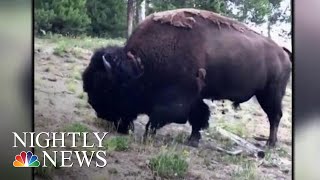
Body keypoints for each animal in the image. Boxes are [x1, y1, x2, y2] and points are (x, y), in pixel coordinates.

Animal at [83, 7, 292, 147]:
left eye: (107, 87)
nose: (98, 110)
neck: (141, 65)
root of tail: (283, 53)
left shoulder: (178, 98)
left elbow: (161, 117)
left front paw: (147, 137)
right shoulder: (195, 96)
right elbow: (198, 116)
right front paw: (193, 139)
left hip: (270, 94)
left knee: (275, 116)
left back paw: (270, 144)